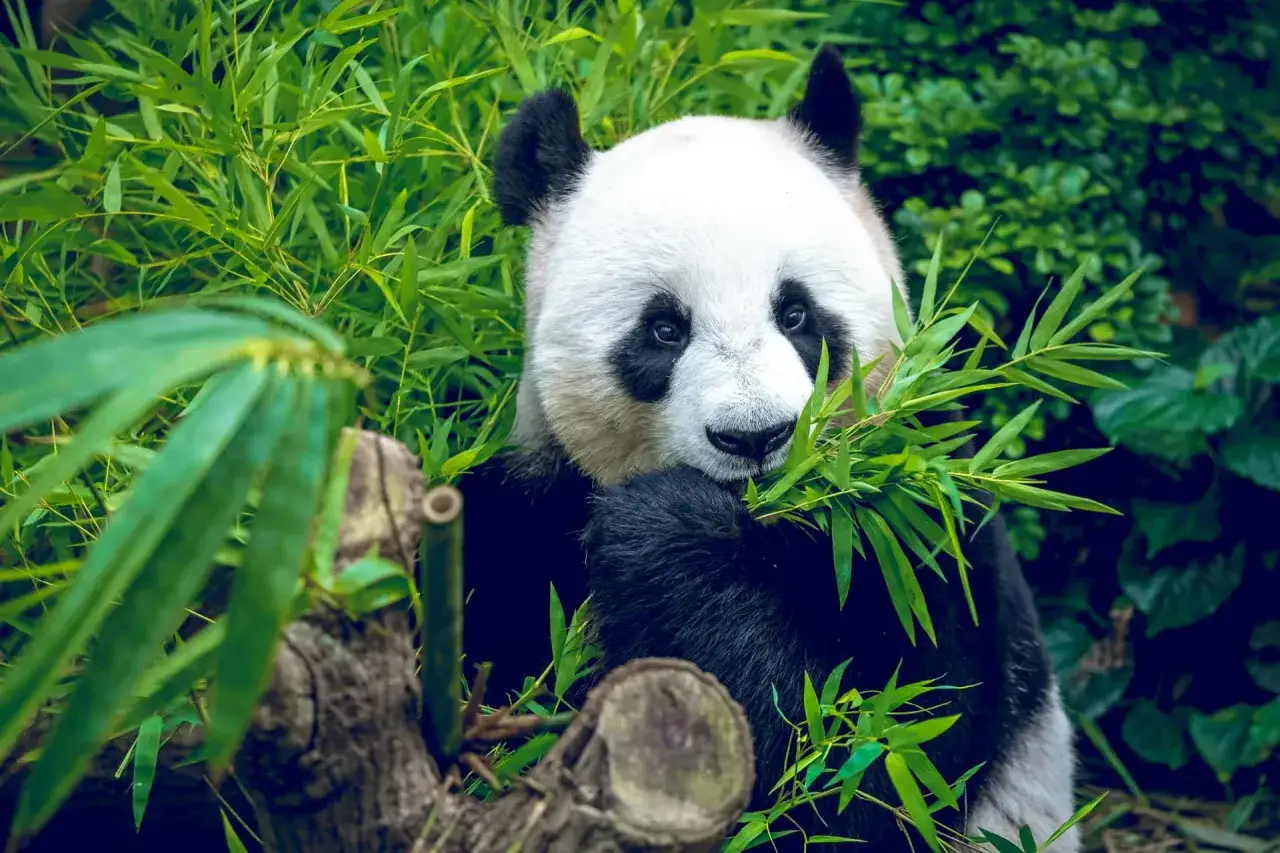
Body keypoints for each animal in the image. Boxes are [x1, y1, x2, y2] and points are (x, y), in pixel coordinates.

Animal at [457, 46, 1081, 852]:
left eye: (796, 313)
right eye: (664, 328)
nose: (754, 435)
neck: (766, 525)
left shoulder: (922, 538)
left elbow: (867, 769)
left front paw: (662, 532)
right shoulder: (526, 518)